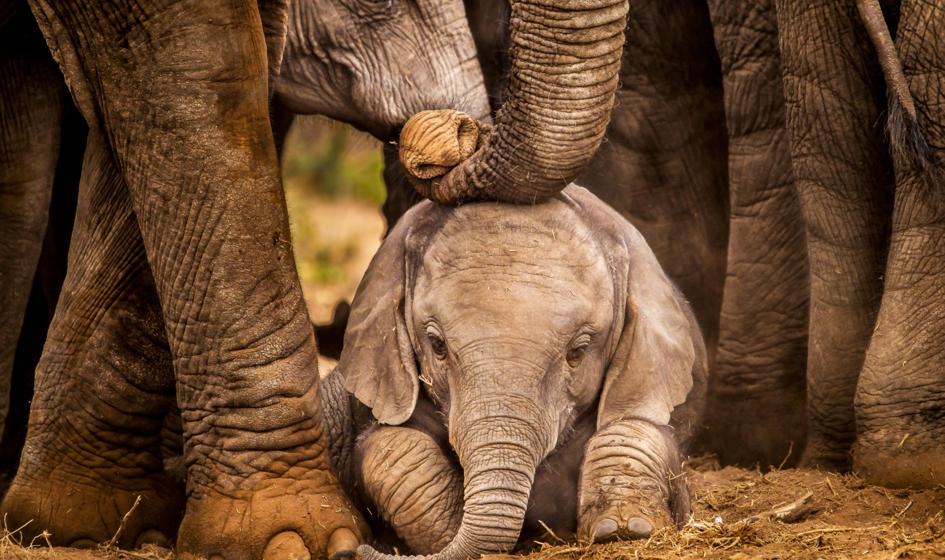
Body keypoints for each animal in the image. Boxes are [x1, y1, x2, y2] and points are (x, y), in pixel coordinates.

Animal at [320, 185, 704, 560]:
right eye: (437, 345)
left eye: (578, 352)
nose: (352, 552)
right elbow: (393, 446)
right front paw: (447, 530)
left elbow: (634, 428)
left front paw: (624, 529)